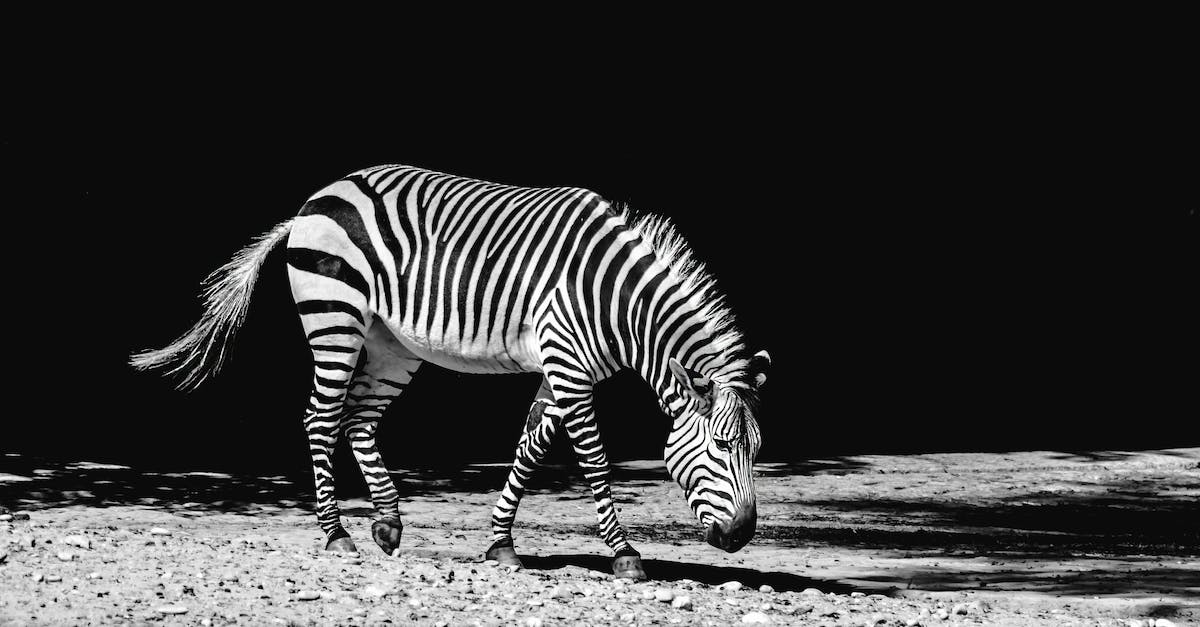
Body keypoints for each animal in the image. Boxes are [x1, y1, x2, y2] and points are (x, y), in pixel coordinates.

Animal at [130, 164, 770, 579]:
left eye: (755, 450)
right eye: (719, 446)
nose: (742, 537)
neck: (616, 300)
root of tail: (320, 195)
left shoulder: (561, 367)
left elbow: (530, 448)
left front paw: (501, 544)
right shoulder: (567, 363)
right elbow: (592, 458)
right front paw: (624, 554)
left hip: (391, 341)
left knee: (359, 421)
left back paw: (387, 524)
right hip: (335, 317)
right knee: (320, 417)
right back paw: (336, 534)